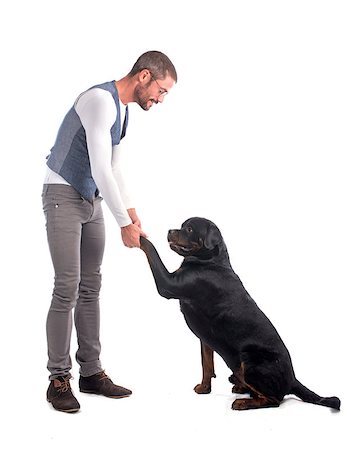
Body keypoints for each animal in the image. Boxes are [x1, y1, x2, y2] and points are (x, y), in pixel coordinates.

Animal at [140, 218, 340, 412]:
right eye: (181, 226)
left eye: (189, 229)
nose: (170, 231)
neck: (210, 262)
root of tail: (293, 379)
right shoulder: (205, 339)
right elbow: (206, 364)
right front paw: (204, 388)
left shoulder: (168, 284)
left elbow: (151, 250)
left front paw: (139, 236)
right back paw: (241, 387)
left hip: (250, 361)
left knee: (274, 400)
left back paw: (243, 402)